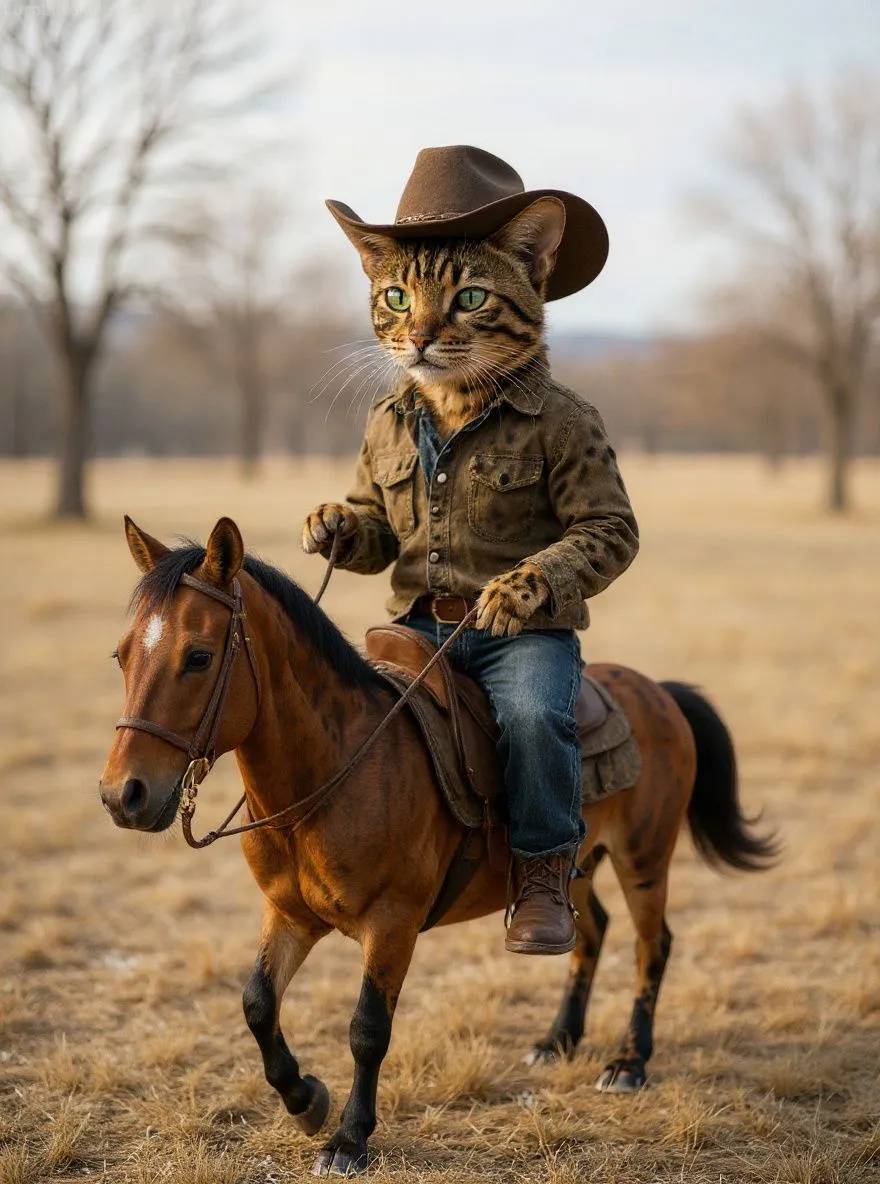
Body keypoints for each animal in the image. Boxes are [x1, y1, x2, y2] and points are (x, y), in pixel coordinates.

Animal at [99, 516, 776, 1177]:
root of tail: (658, 690)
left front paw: (349, 1139)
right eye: (121, 655)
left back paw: (629, 1063)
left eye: (199, 656)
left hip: (645, 860)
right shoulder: (289, 913)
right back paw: (557, 1041)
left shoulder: (392, 922)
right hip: (576, 867)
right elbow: (258, 1004)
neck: (337, 766)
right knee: (590, 933)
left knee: (650, 946)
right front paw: (306, 1100)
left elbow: (368, 1028)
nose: (122, 795)